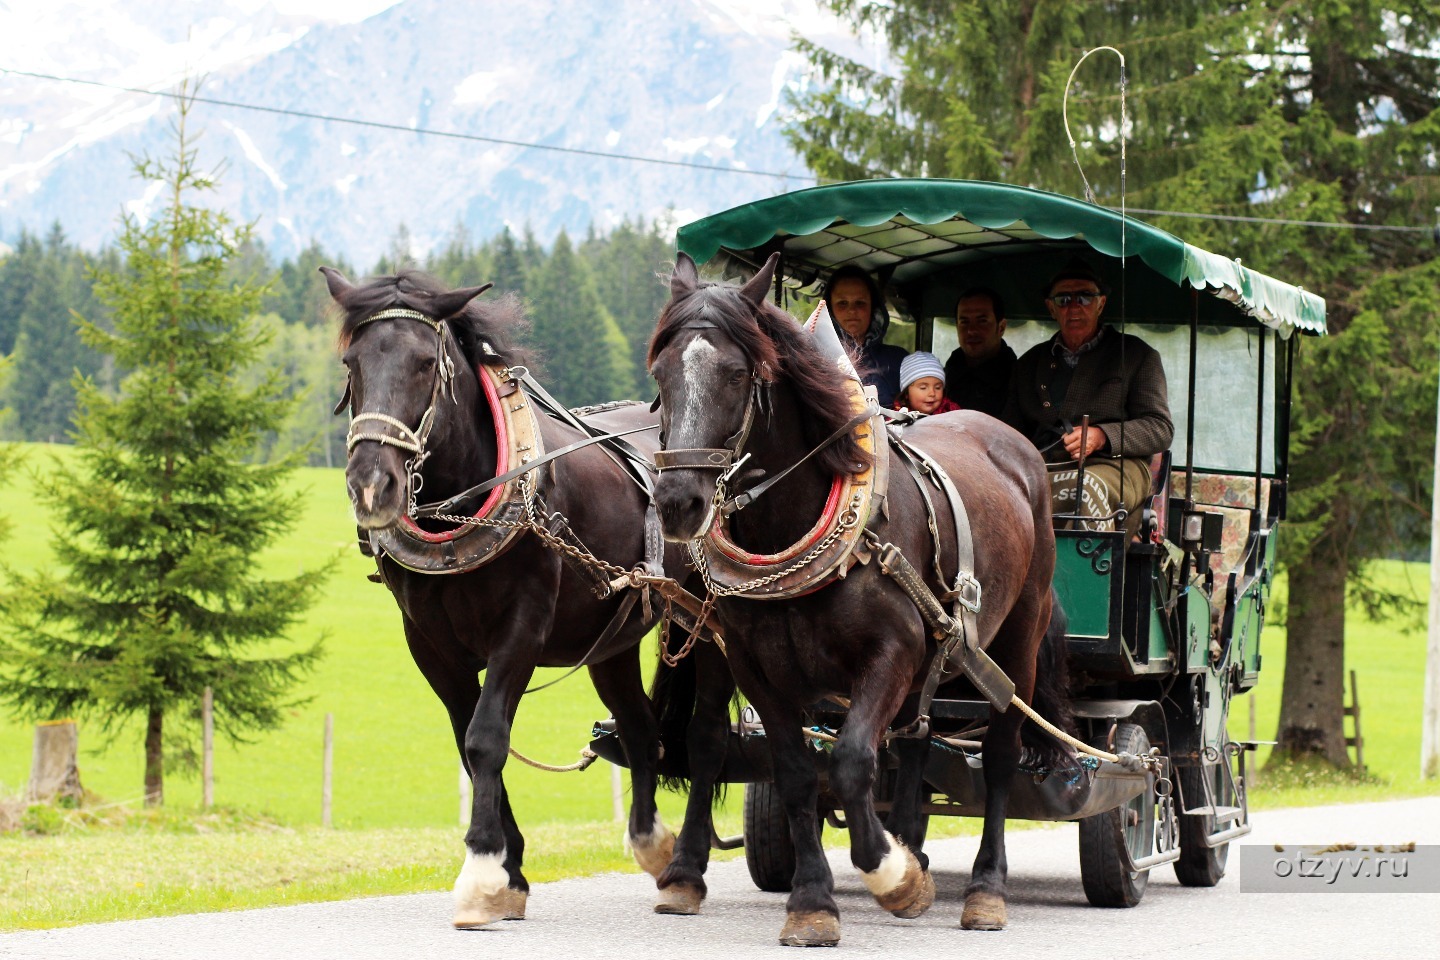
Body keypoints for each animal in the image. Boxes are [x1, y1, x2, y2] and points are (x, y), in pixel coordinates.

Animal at [325, 269, 731, 921]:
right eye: (351, 362)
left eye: (424, 363)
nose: (371, 486)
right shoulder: (431, 647)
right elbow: (467, 744)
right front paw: (509, 872)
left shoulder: (520, 629)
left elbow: (487, 738)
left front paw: (483, 872)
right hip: (612, 640)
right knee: (640, 729)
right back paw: (651, 842)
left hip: (713, 628)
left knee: (706, 737)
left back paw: (685, 869)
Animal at [650, 254, 1071, 944]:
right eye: (661, 373)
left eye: (737, 374)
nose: (678, 501)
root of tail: (1018, 445)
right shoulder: (755, 665)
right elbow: (796, 772)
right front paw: (815, 899)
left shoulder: (890, 653)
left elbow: (850, 761)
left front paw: (893, 876)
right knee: (907, 740)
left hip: (1017, 638)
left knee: (1001, 753)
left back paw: (984, 888)